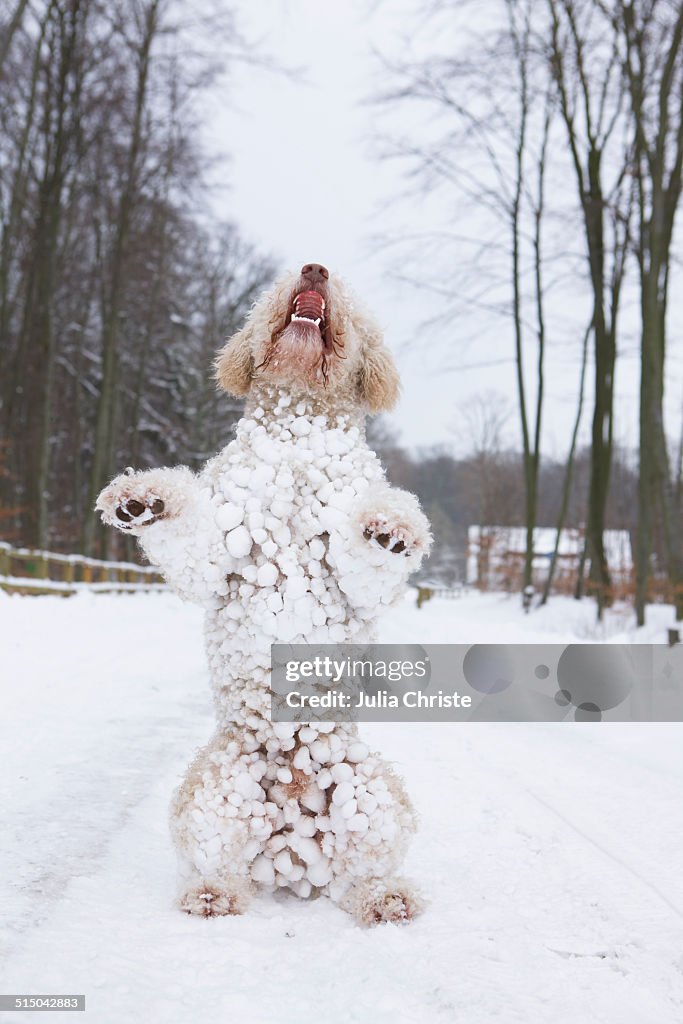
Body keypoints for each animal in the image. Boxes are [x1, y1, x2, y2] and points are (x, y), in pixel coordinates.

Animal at [97, 260, 428, 925]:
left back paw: (387, 898)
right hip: (213, 791)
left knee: (363, 873)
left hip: (372, 794)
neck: (298, 439)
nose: (314, 268)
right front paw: (142, 497)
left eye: (343, 290)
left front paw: (391, 527)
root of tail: (293, 846)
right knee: (219, 864)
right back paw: (211, 894)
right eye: (279, 285)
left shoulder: (357, 578)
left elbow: (369, 559)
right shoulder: (219, 546)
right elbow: (191, 537)